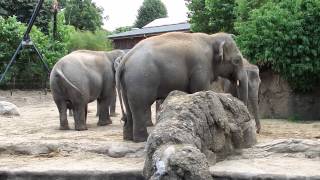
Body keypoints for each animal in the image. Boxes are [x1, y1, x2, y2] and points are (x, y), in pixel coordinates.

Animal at [116, 32, 249, 142]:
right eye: (237, 60)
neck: (211, 37)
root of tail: (125, 59)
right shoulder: (201, 67)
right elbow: (199, 90)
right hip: (140, 80)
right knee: (140, 107)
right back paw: (142, 139)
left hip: (127, 83)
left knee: (129, 108)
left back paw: (128, 138)